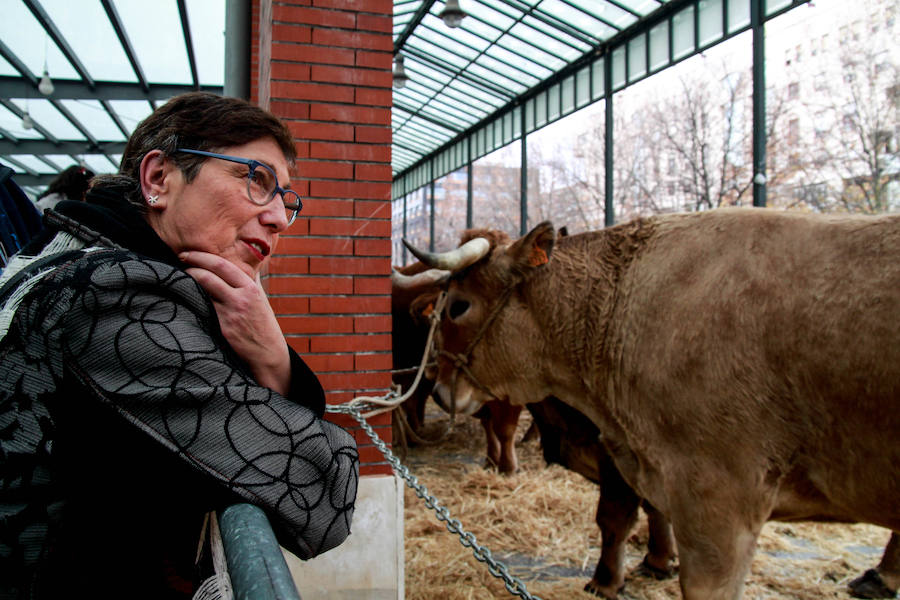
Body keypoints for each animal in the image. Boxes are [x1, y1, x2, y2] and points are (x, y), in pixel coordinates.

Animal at [408, 207, 900, 600]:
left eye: (457, 306)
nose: (438, 386)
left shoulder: (717, 504)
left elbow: (616, 521)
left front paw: (607, 580)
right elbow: (648, 513)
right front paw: (656, 561)